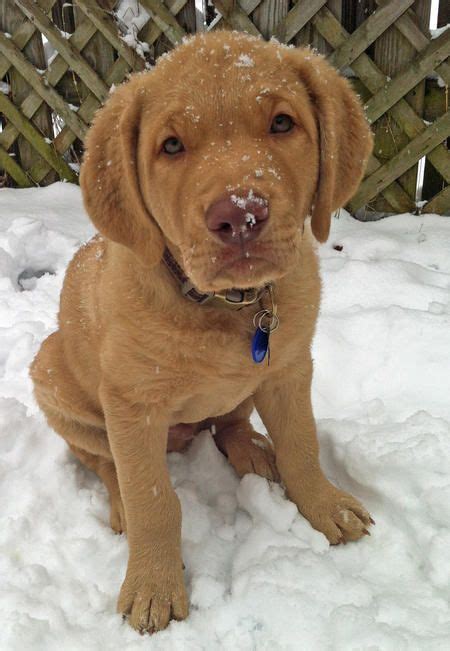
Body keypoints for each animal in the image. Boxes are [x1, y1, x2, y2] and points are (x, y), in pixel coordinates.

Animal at [30, 29, 372, 632]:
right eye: (170, 146)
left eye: (282, 123)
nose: (240, 217)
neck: (226, 305)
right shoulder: (132, 405)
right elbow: (152, 498)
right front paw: (153, 586)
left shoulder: (289, 369)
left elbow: (303, 446)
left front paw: (326, 506)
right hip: (51, 375)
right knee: (103, 462)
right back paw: (119, 506)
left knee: (229, 422)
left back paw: (254, 450)